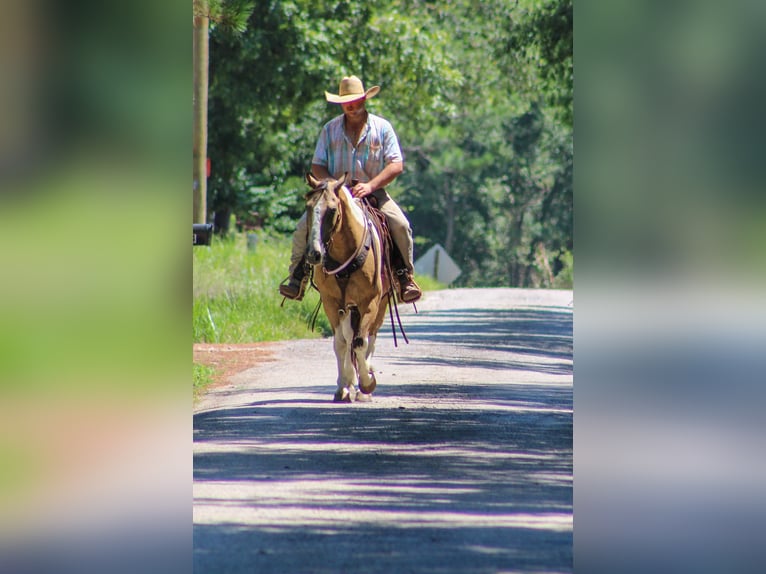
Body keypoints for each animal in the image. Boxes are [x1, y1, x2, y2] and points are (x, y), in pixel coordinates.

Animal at [304, 173, 391, 402]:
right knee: (348, 338)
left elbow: (360, 341)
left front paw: (367, 383)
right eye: (308, 207)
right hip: (348, 308)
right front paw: (343, 387)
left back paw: (362, 386)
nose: (314, 253)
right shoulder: (332, 303)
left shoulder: (369, 302)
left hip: (380, 304)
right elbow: (341, 343)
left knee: (369, 338)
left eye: (332, 210)